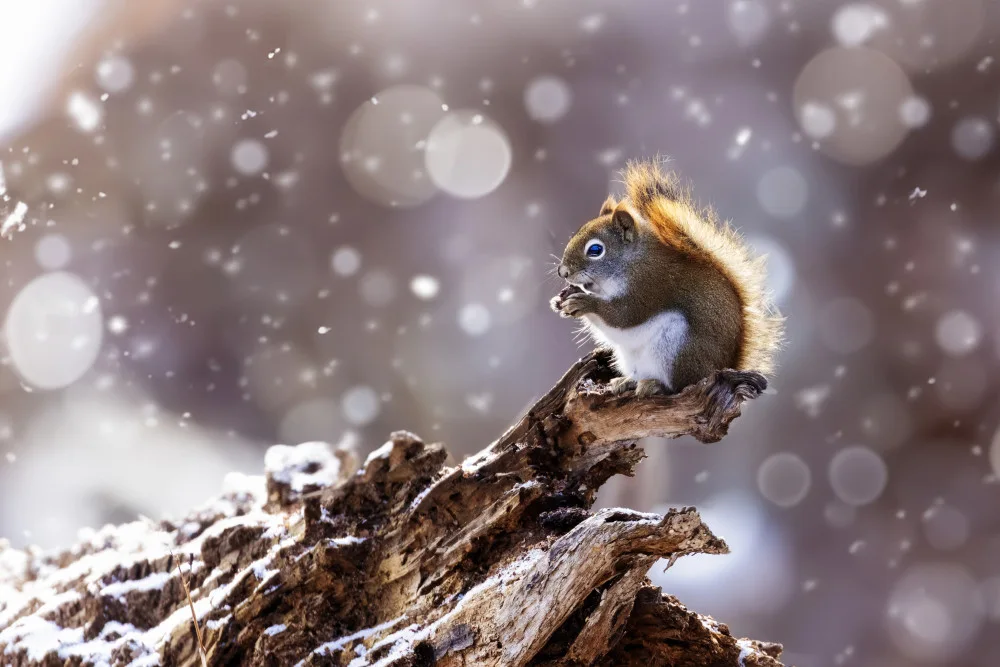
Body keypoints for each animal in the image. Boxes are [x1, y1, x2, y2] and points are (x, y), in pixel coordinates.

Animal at [550, 158, 784, 398]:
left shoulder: (651, 285)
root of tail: (722, 367)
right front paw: (562, 298)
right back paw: (626, 381)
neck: (632, 263)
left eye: (595, 250)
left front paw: (584, 302)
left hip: (678, 349)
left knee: (679, 385)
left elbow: (622, 316)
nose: (563, 272)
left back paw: (655, 385)